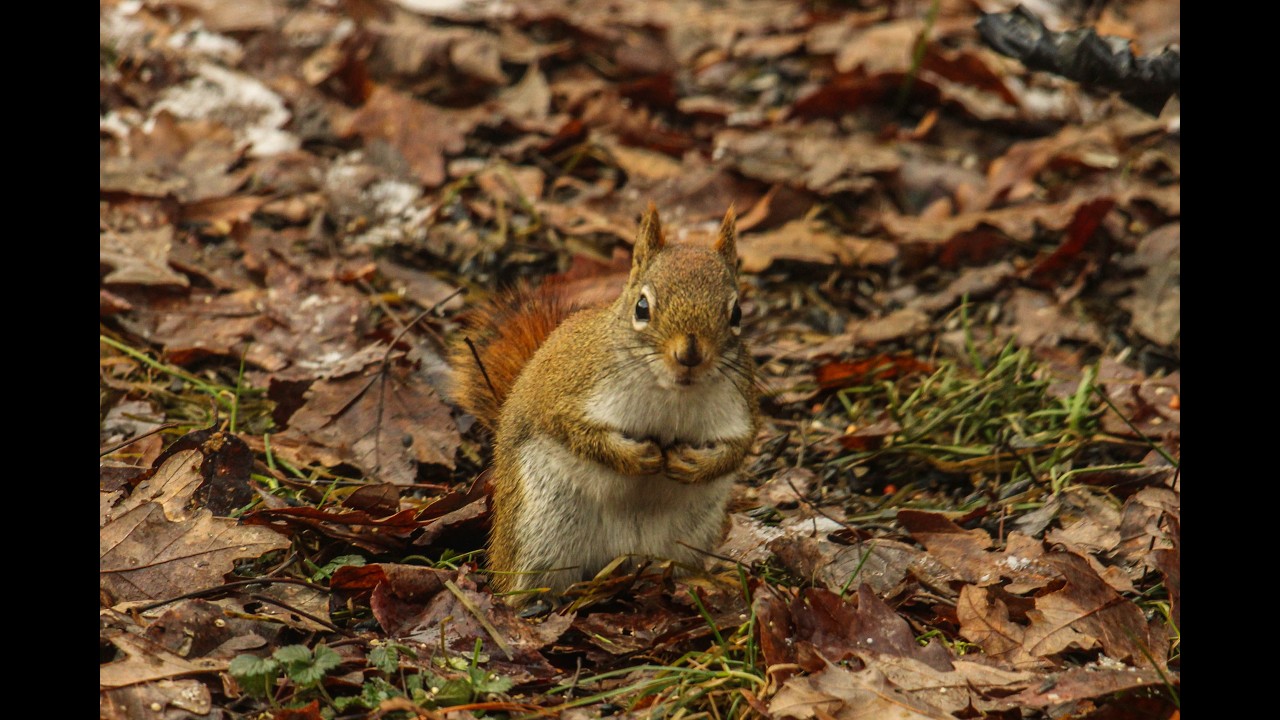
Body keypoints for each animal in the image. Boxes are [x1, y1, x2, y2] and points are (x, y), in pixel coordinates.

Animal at [449, 204, 760, 602]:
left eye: (736, 314)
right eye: (642, 307)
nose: (690, 355)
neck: (673, 392)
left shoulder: (739, 407)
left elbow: (738, 448)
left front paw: (695, 464)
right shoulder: (570, 393)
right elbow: (574, 431)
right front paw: (635, 457)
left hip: (686, 535)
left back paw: (699, 581)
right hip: (542, 526)